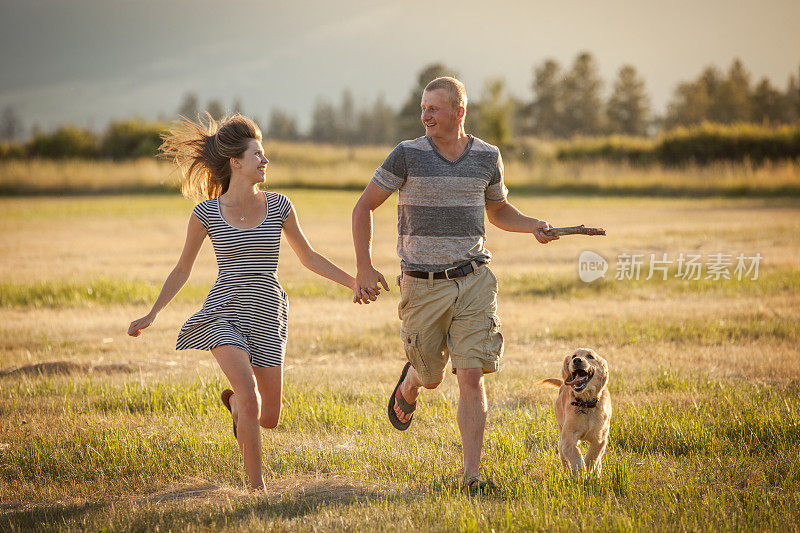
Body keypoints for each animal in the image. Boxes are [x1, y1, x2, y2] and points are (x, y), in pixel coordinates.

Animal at [544, 348, 612, 476]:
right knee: (564, 459)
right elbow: (575, 455)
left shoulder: (600, 439)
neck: (585, 404)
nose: (576, 360)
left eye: (590, 356)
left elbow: (592, 456)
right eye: (573, 356)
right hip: (561, 435)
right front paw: (581, 474)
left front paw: (589, 472)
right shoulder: (568, 437)